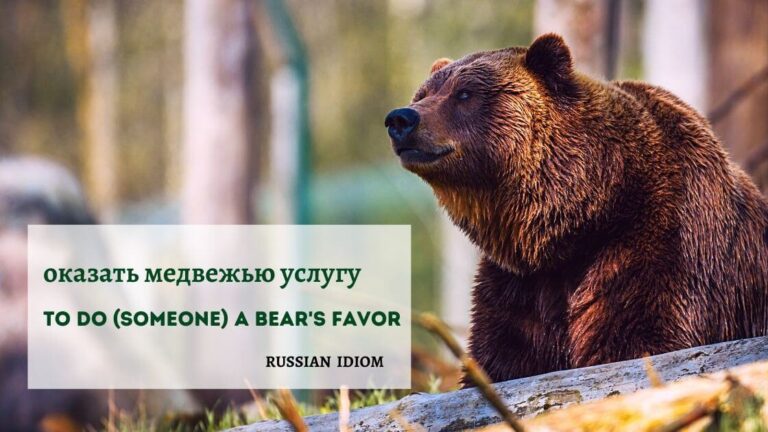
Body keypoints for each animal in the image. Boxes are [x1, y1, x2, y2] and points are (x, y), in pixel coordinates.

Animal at [385, 33, 768, 383]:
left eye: (464, 93)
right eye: (423, 94)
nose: (401, 119)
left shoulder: (661, 244)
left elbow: (639, 337)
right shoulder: (520, 286)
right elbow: (503, 356)